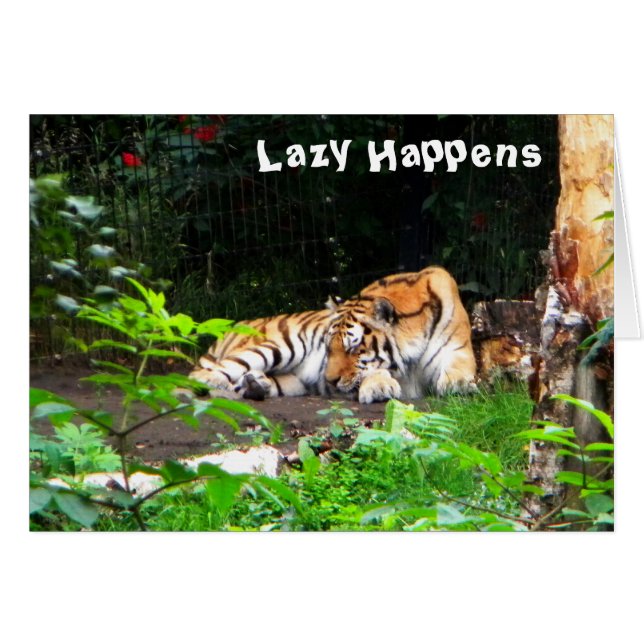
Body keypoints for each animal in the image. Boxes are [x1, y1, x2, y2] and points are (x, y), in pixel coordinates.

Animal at [324, 266, 478, 403]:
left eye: (353, 348)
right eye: (329, 348)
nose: (330, 381)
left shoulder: (457, 348)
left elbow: (458, 366)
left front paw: (459, 384)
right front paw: (378, 386)